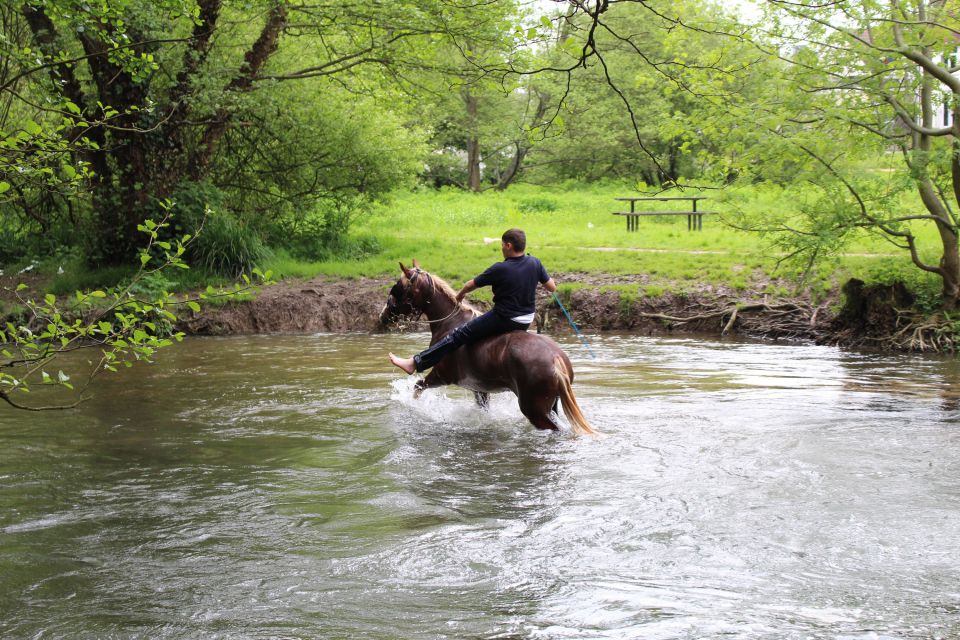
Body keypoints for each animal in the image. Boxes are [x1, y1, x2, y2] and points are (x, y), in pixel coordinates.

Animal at [380, 260, 592, 436]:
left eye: (397, 288)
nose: (383, 316)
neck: (449, 322)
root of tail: (556, 360)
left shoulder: (442, 376)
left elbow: (418, 386)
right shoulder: (479, 389)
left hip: (535, 409)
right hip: (551, 405)